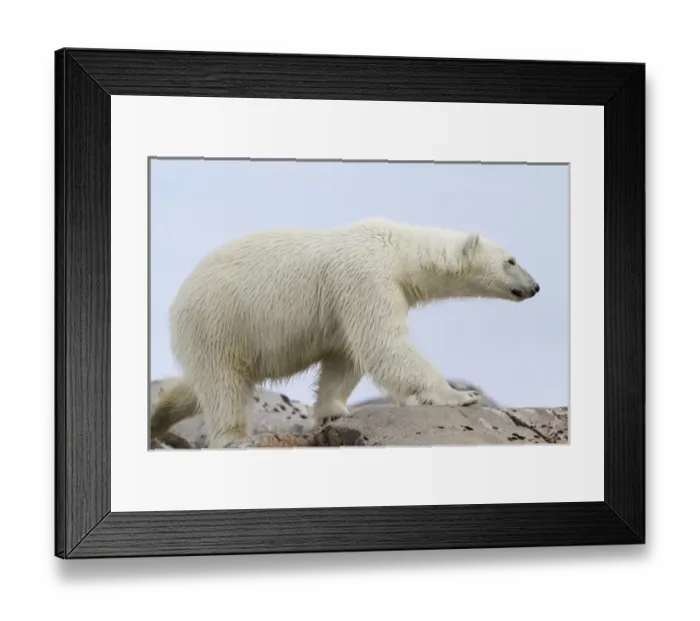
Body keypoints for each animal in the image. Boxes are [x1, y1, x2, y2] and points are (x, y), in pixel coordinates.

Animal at [150, 217, 540, 449]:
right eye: (511, 260)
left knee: (200, 385)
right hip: (219, 320)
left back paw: (157, 416)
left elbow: (345, 357)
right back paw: (233, 437)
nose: (535, 286)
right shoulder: (365, 278)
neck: (396, 249)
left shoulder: (346, 301)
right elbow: (382, 343)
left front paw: (333, 411)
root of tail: (178, 301)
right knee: (224, 387)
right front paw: (460, 395)